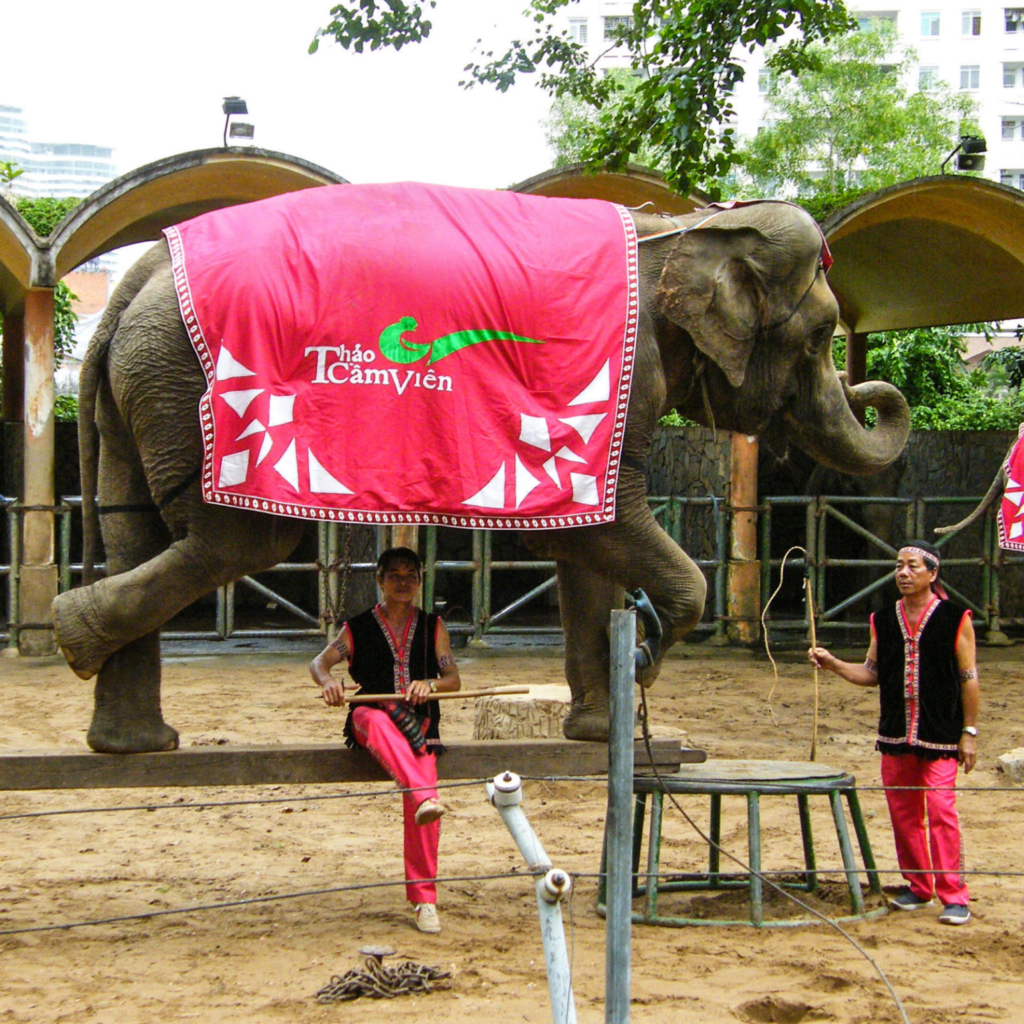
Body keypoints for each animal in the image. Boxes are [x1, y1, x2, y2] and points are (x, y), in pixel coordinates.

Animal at [49, 195, 913, 753]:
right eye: (822, 336)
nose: (875, 385)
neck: (685, 229)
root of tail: (136, 276)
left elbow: (586, 538)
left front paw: (596, 734)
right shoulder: (619, 378)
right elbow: (608, 525)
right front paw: (643, 661)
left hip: (145, 386)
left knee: (136, 528)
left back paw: (131, 740)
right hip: (204, 389)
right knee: (240, 540)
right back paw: (70, 635)